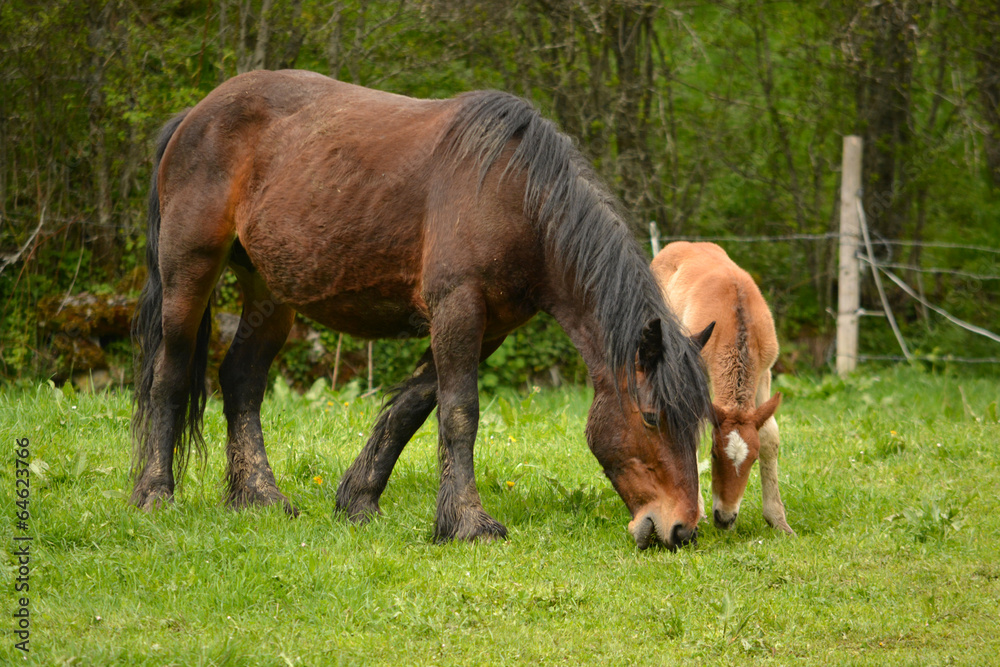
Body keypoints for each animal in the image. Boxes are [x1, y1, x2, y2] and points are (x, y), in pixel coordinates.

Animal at [130, 69, 713, 549]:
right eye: (652, 418)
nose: (680, 528)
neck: (515, 195)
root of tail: (194, 116)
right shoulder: (457, 308)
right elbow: (459, 413)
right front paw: (468, 523)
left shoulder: (487, 328)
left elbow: (411, 407)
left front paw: (359, 500)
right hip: (190, 275)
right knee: (170, 375)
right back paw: (155, 494)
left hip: (270, 294)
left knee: (242, 382)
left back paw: (259, 497)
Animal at [651, 241, 794, 535]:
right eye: (714, 455)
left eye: (752, 460)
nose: (725, 518)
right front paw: (698, 512)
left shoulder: (764, 373)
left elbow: (770, 435)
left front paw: (777, 519)